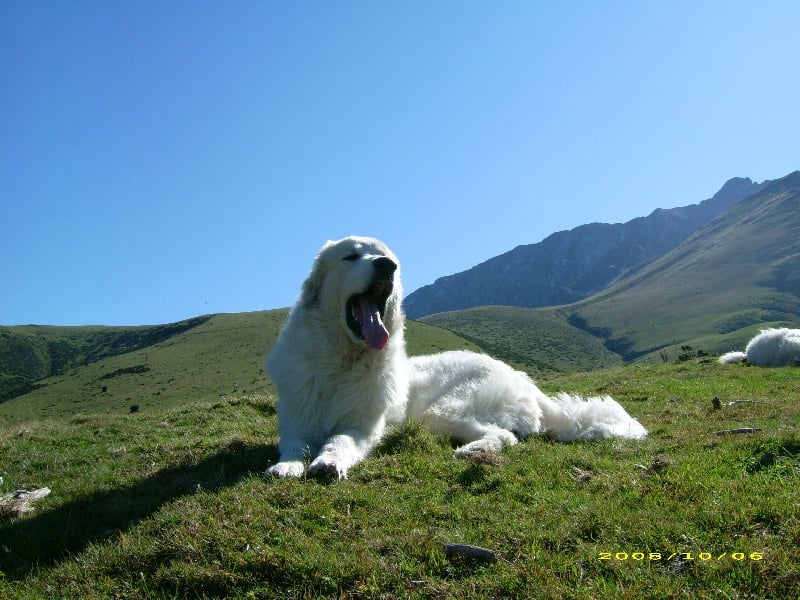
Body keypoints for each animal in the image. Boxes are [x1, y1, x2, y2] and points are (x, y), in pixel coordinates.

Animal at [266, 237, 648, 480]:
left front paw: (328, 463)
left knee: (505, 436)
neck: (341, 359)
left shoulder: (361, 427)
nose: (388, 265)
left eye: (385, 255)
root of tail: (523, 379)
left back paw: (471, 452)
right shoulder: (296, 422)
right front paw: (286, 466)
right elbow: (294, 446)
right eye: (351, 256)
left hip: (438, 412)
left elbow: (338, 441)